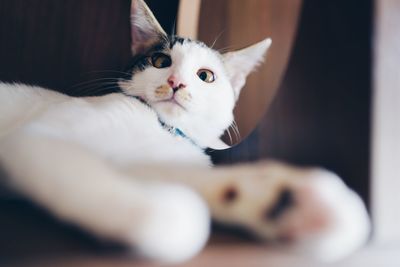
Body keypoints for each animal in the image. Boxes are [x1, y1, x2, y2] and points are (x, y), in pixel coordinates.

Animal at [0, 0, 370, 264]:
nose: (176, 82)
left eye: (205, 76)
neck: (162, 129)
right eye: (160, 61)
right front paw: (156, 214)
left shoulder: (166, 161)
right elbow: (82, 170)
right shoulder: (40, 136)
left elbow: (192, 177)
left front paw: (288, 201)